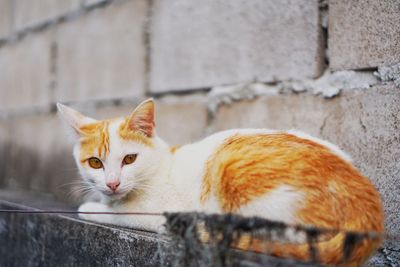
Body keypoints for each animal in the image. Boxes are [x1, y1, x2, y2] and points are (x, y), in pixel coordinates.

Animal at [57, 99, 384, 266]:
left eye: (129, 159)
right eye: (95, 163)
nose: (112, 184)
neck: (161, 165)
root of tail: (368, 211)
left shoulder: (151, 212)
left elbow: (110, 211)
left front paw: (91, 206)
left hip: (235, 171)